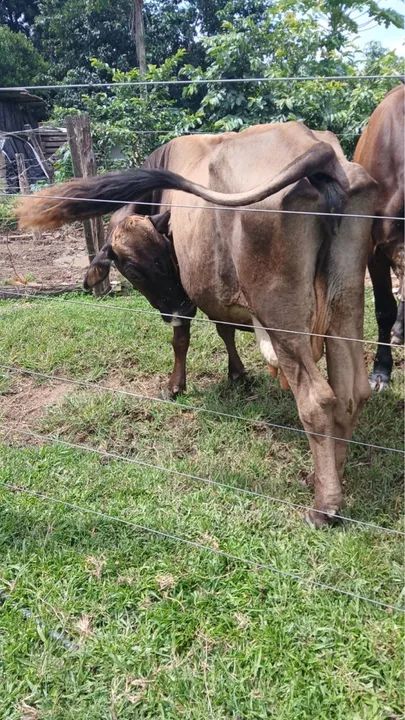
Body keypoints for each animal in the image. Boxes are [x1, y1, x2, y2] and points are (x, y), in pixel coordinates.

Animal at [18, 122, 377, 526]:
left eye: (148, 264)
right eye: (134, 268)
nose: (173, 306)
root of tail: (320, 152)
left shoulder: (190, 292)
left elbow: (182, 339)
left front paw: (175, 385)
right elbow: (225, 329)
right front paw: (237, 374)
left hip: (282, 315)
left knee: (318, 399)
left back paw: (324, 505)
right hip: (345, 298)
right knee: (351, 390)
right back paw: (329, 477)